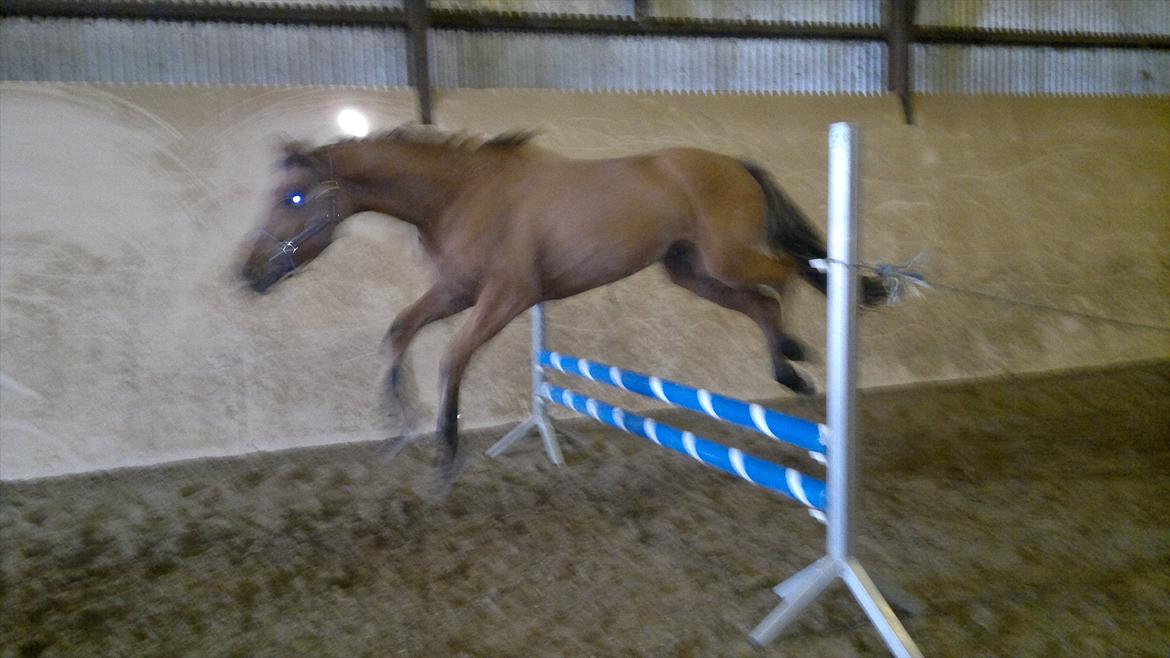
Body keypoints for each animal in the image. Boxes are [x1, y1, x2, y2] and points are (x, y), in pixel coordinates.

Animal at [237, 126, 887, 476]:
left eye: (293, 197)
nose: (247, 274)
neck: (464, 192)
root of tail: (734, 164)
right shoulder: (458, 291)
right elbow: (399, 331)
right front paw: (399, 419)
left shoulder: (507, 296)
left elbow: (452, 358)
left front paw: (448, 449)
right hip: (691, 273)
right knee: (762, 304)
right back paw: (788, 371)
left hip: (726, 260)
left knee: (789, 274)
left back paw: (797, 355)